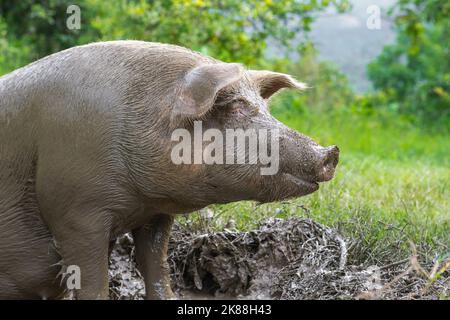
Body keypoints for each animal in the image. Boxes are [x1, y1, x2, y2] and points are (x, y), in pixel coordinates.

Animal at [0, 40, 338, 300]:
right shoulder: (76, 212)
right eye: (235, 106)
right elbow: (92, 281)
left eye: (265, 109)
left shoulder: (155, 213)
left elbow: (156, 266)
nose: (331, 153)